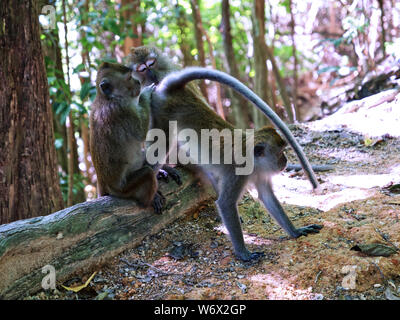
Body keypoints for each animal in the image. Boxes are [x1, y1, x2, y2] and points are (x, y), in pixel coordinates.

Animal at [90, 62, 166, 212]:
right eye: (130, 77)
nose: (138, 82)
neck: (108, 98)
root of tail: (103, 183)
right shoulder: (121, 110)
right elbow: (141, 132)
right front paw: (145, 93)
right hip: (123, 190)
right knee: (147, 173)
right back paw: (150, 199)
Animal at [130, 48, 324, 262]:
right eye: (281, 152)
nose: (285, 160)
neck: (253, 161)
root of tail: (173, 90)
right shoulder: (237, 173)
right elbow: (225, 204)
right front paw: (243, 253)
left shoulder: (261, 174)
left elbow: (267, 197)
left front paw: (295, 231)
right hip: (162, 113)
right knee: (162, 144)